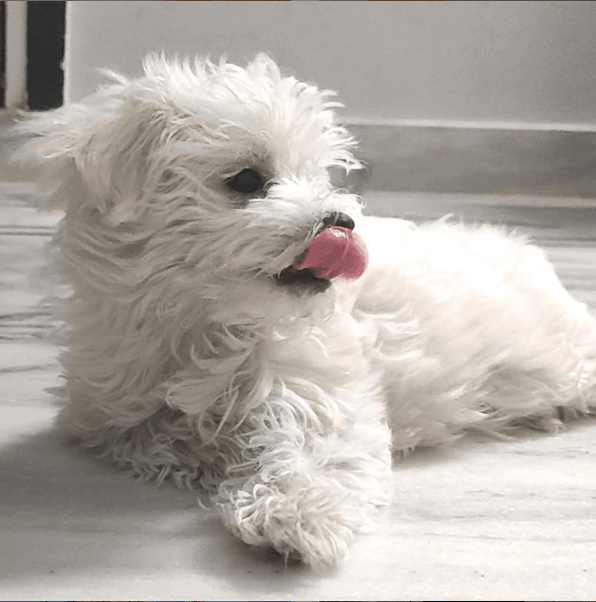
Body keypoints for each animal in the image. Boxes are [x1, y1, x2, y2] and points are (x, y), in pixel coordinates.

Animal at [19, 54, 596, 564]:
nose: (341, 221)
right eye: (245, 180)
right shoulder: (106, 405)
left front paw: (295, 515)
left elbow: (316, 445)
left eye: (323, 177)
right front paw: (213, 455)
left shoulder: (319, 380)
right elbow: (151, 433)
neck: (204, 321)